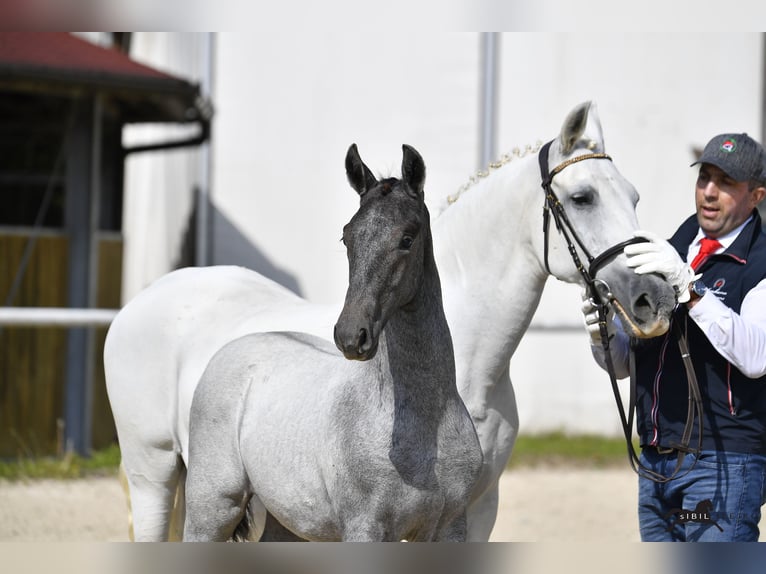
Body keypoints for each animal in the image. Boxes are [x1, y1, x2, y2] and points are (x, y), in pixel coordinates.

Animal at [105, 100, 676, 544]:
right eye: (583, 197)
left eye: (633, 196)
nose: (653, 297)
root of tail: (139, 302)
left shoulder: (478, 507)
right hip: (158, 473)